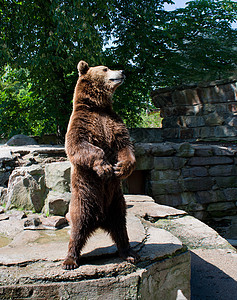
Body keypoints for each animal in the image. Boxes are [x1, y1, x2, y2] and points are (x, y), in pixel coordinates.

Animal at [63, 61, 140, 270]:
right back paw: (70, 260)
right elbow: (78, 145)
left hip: (116, 202)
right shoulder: (81, 122)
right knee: (77, 229)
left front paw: (121, 168)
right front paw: (105, 168)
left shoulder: (114, 122)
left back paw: (129, 253)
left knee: (121, 228)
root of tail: (99, 220)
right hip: (83, 200)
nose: (122, 71)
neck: (97, 106)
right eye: (105, 68)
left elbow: (125, 145)